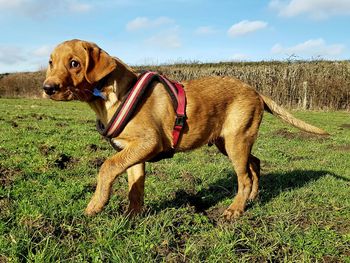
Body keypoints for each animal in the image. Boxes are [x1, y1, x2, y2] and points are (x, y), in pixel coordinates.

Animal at [43, 39, 328, 221]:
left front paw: (96, 205)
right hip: (228, 141)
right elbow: (135, 186)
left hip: (236, 141)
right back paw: (253, 197)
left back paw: (235, 209)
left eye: (74, 63)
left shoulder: (148, 142)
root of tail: (256, 90)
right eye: (50, 62)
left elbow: (107, 166)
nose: (47, 88)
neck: (109, 95)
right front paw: (132, 216)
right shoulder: (133, 151)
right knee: (254, 164)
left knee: (244, 176)